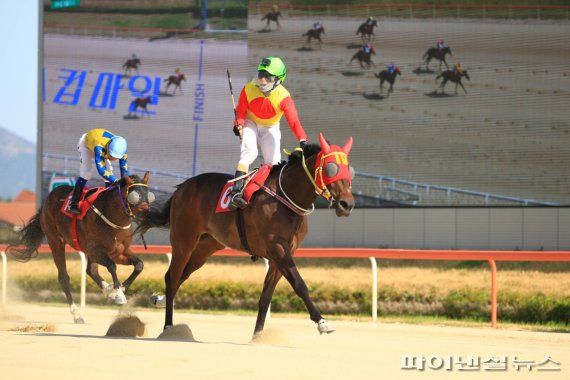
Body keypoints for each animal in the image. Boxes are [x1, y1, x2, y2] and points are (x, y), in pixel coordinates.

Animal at [7, 174, 153, 322]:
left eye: (149, 195)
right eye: (134, 195)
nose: (148, 213)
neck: (113, 219)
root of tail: (48, 199)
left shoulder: (118, 252)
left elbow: (139, 265)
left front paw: (121, 288)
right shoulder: (96, 250)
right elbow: (112, 266)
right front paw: (118, 293)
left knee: (91, 270)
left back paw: (107, 289)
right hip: (55, 241)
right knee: (64, 277)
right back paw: (77, 314)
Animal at [135, 134, 352, 338]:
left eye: (349, 170)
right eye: (331, 168)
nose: (347, 204)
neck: (285, 198)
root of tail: (182, 187)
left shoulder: (281, 254)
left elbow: (266, 297)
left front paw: (258, 335)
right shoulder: (277, 248)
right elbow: (299, 284)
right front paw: (322, 322)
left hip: (205, 248)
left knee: (182, 275)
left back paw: (160, 300)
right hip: (183, 240)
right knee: (172, 278)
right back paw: (168, 327)